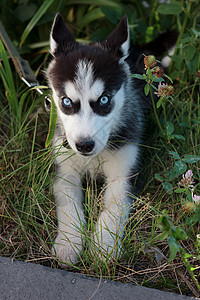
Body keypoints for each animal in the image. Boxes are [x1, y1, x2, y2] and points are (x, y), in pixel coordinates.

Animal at [46, 13, 145, 262]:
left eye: (104, 100)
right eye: (66, 101)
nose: (84, 145)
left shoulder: (124, 174)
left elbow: (114, 207)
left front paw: (104, 244)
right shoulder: (64, 170)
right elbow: (68, 205)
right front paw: (69, 243)